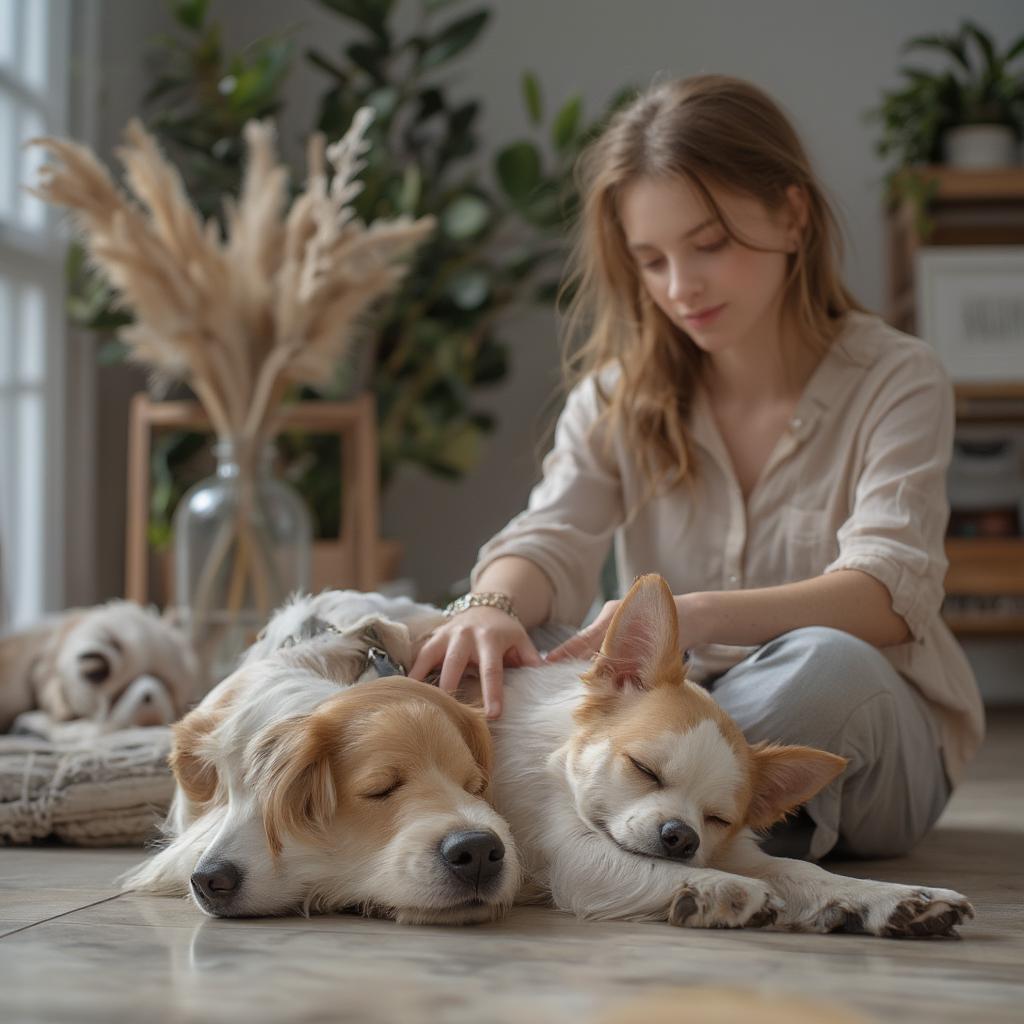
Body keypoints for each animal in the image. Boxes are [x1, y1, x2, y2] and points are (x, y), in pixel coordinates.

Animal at [487, 577, 974, 937]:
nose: (682, 837)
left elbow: (801, 870)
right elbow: (646, 865)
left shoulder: (731, 850)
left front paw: (897, 898)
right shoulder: (573, 856)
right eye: (644, 770)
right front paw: (723, 888)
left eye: (717, 819)